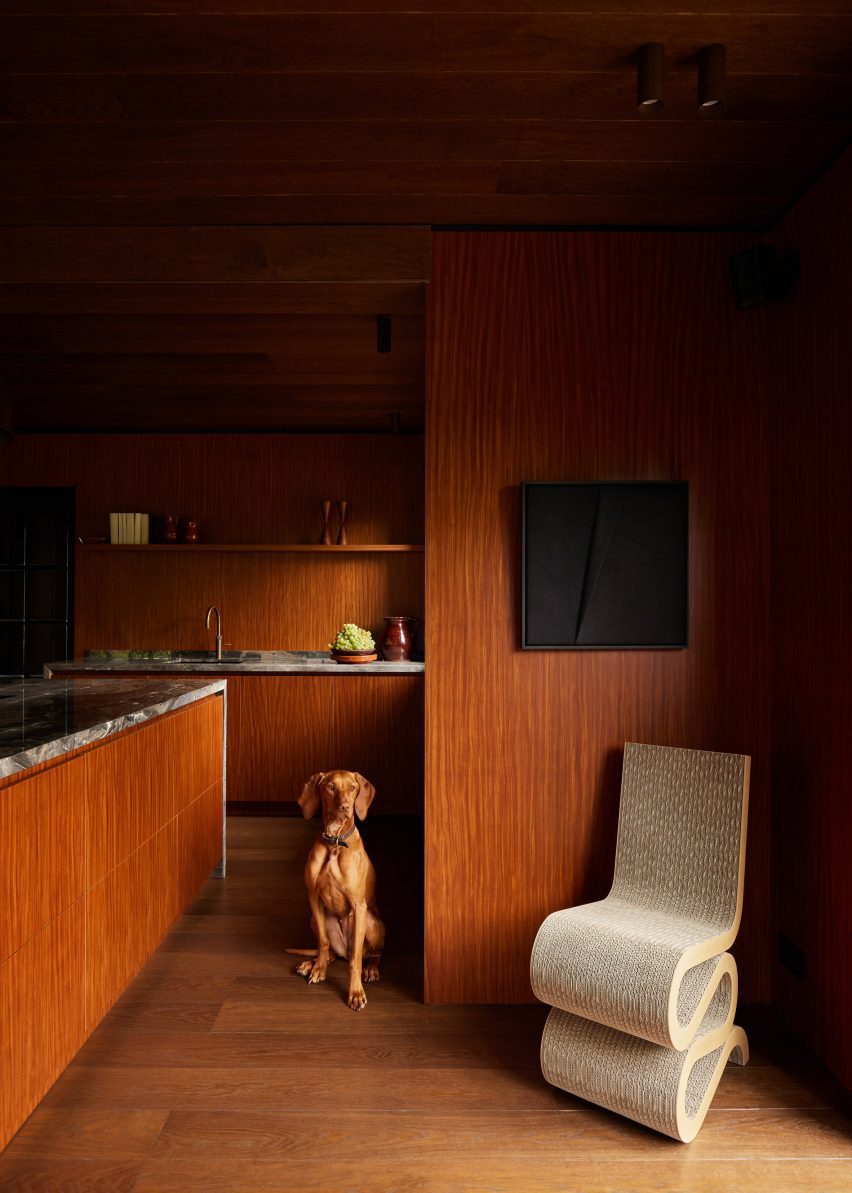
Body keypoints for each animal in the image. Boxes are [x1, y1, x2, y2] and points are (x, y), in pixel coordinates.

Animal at [289, 768, 386, 1011]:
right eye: (331, 787)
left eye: (352, 787)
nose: (344, 806)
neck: (335, 842)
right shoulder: (313, 897)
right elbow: (323, 943)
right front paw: (318, 969)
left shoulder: (359, 905)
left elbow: (356, 959)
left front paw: (355, 993)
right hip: (314, 920)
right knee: (332, 951)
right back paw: (312, 963)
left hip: (371, 921)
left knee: (370, 954)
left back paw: (371, 969)